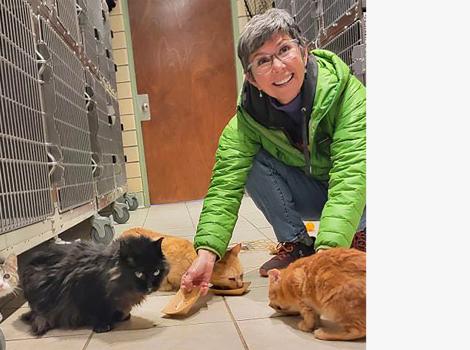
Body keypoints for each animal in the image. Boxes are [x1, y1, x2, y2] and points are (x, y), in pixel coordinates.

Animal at [19, 234, 168, 334]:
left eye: (156, 271)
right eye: (139, 273)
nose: (150, 287)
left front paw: (121, 316)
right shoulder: (86, 293)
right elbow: (97, 312)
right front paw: (102, 326)